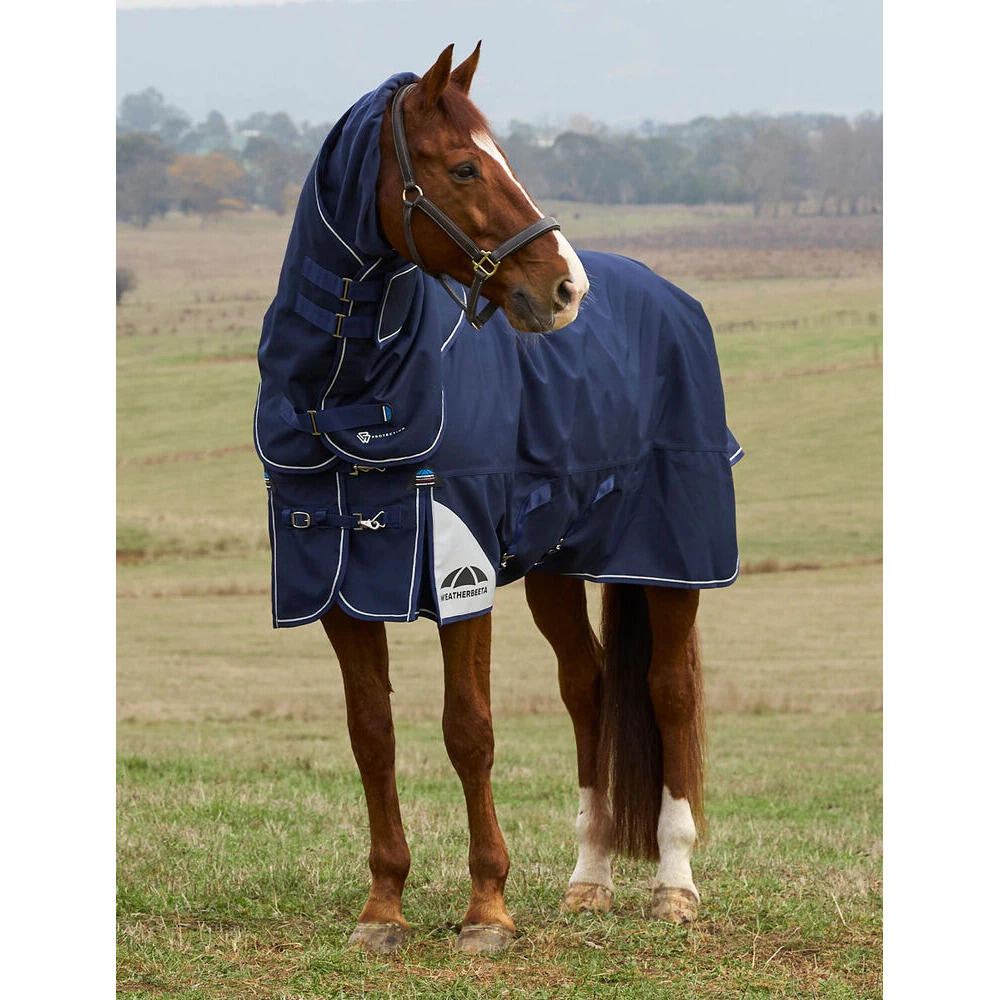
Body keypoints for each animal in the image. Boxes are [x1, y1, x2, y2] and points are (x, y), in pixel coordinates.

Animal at [254, 43, 741, 955]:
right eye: (465, 166)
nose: (565, 290)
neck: (347, 393)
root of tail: (670, 299)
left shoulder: (460, 568)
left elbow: (468, 731)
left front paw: (487, 909)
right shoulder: (337, 576)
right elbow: (372, 735)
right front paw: (383, 908)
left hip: (668, 561)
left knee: (670, 692)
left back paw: (673, 885)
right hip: (558, 566)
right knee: (589, 689)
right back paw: (589, 880)